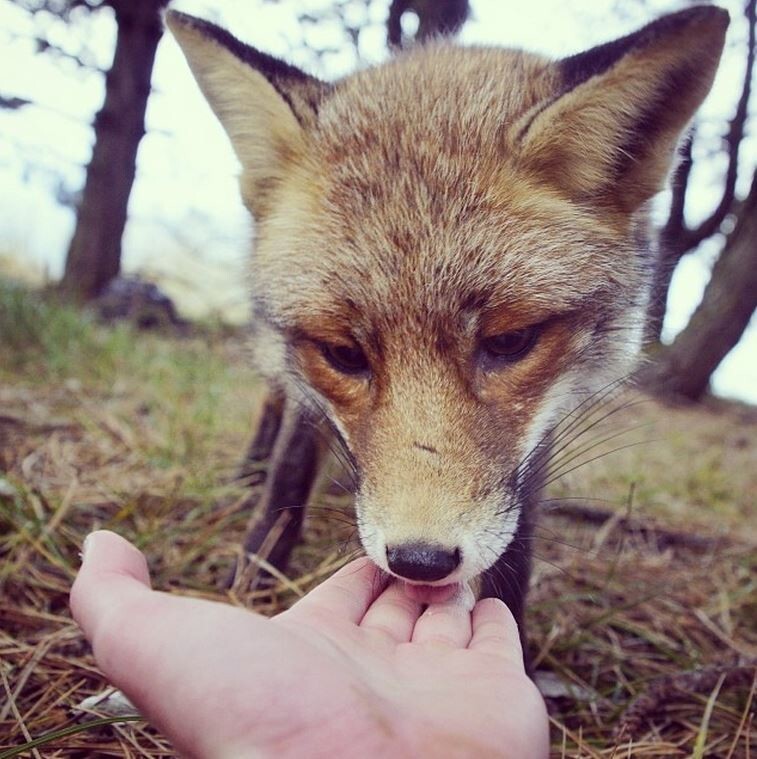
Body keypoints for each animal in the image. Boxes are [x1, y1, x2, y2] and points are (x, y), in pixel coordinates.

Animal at [165, 5, 728, 640]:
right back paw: (249, 475)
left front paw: (514, 638)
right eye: (343, 354)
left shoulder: (547, 412)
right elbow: (291, 462)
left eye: (510, 341)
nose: (420, 560)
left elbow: (517, 533)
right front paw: (257, 570)